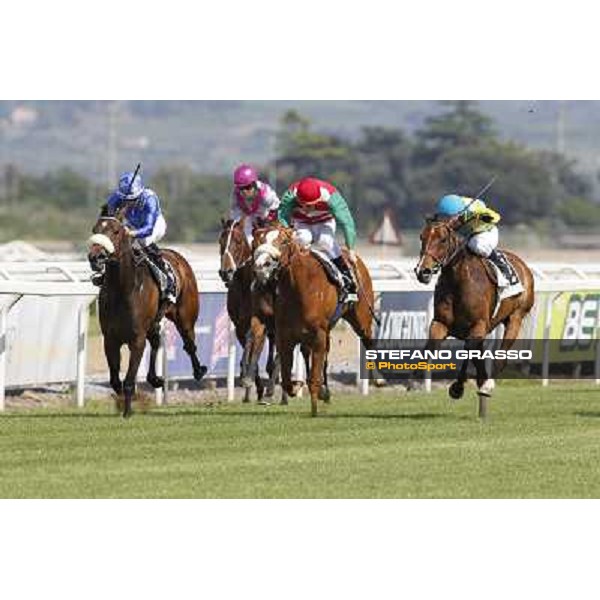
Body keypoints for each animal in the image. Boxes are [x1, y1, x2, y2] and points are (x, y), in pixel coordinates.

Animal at [87, 216, 206, 418]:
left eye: (116, 231)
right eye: (95, 230)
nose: (95, 257)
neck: (123, 290)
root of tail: (178, 257)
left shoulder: (137, 339)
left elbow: (128, 380)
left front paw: (127, 411)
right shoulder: (110, 339)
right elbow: (115, 380)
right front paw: (124, 402)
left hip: (185, 317)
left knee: (189, 344)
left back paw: (198, 371)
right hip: (153, 322)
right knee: (157, 341)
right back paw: (155, 379)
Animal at [218, 217, 278, 404]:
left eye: (237, 241)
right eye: (220, 241)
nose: (226, 272)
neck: (245, 286)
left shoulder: (258, 322)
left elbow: (254, 343)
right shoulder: (239, 325)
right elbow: (251, 350)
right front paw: (252, 386)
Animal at [250, 223, 372, 414]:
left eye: (283, 242)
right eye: (258, 241)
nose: (262, 266)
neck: (300, 288)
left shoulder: (318, 334)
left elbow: (314, 374)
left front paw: (315, 402)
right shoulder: (285, 335)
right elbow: (287, 379)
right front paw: (294, 388)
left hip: (362, 320)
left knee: (367, 338)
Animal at [412, 218, 536, 414]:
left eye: (443, 240)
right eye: (421, 237)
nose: (423, 271)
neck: (458, 283)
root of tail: (523, 265)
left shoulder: (478, 326)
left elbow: (471, 351)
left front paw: (465, 386)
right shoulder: (440, 323)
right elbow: (432, 345)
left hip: (515, 318)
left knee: (501, 357)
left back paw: (487, 384)